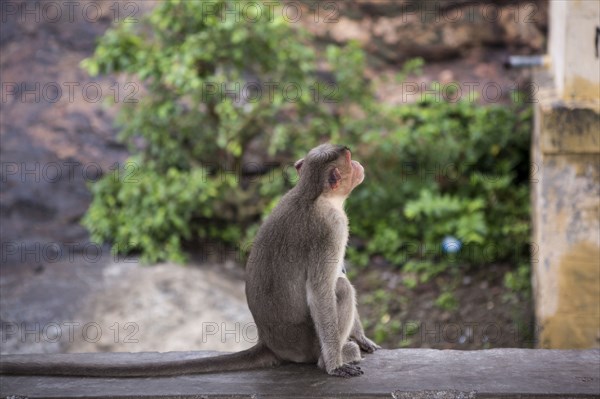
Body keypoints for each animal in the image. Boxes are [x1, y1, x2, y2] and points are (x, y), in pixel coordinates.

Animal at [1, 143, 380, 378]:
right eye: (347, 159)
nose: (358, 163)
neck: (310, 194)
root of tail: (269, 342)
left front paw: (362, 337)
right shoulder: (332, 227)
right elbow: (321, 290)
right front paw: (333, 364)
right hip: (303, 342)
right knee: (340, 290)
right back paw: (334, 354)